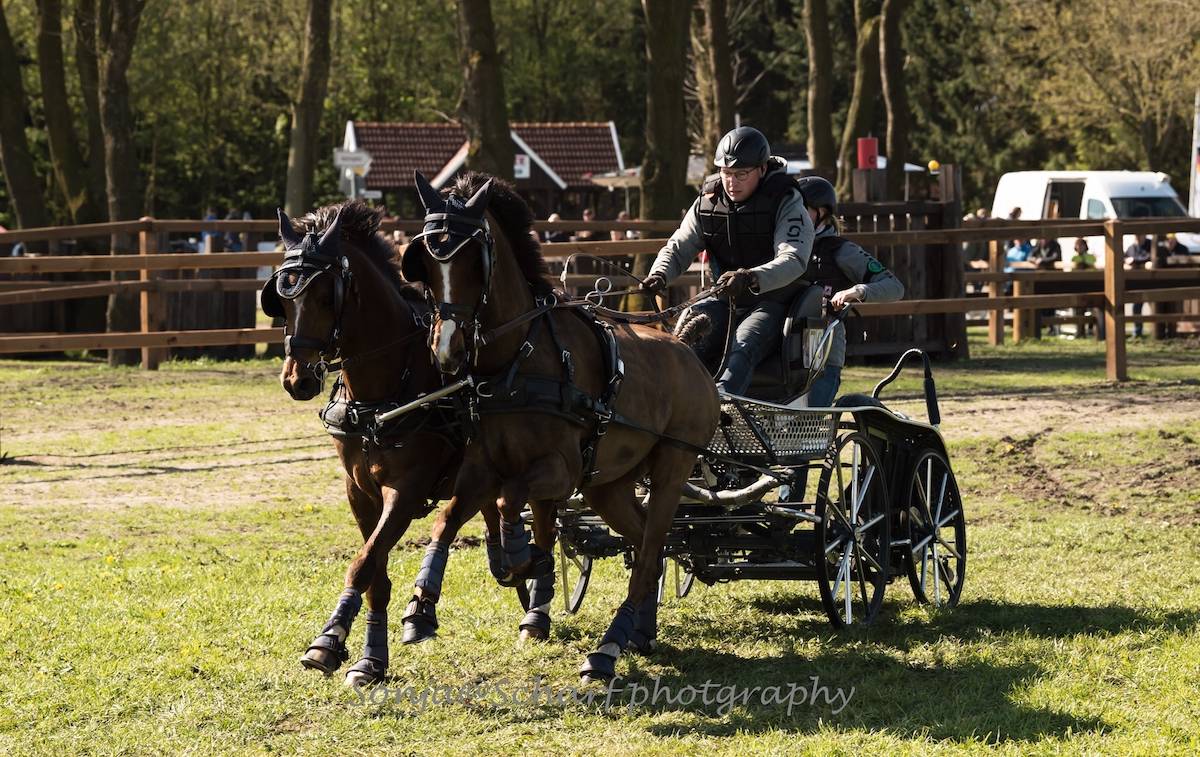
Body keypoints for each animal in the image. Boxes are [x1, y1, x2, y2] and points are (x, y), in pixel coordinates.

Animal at [263, 201, 471, 686]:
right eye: (282, 299)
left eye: (326, 297)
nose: (297, 380)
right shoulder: (358, 489)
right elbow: (375, 571)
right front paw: (370, 658)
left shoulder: (407, 489)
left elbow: (363, 561)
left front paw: (327, 639)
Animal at [399, 171, 720, 683]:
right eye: (427, 263)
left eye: (472, 262)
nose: (446, 349)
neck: (519, 358)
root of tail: (688, 351)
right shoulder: (481, 469)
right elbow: (447, 519)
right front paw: (420, 611)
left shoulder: (561, 470)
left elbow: (511, 499)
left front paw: (520, 556)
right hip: (608, 486)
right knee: (647, 545)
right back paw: (640, 631)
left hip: (673, 465)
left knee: (651, 548)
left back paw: (607, 649)